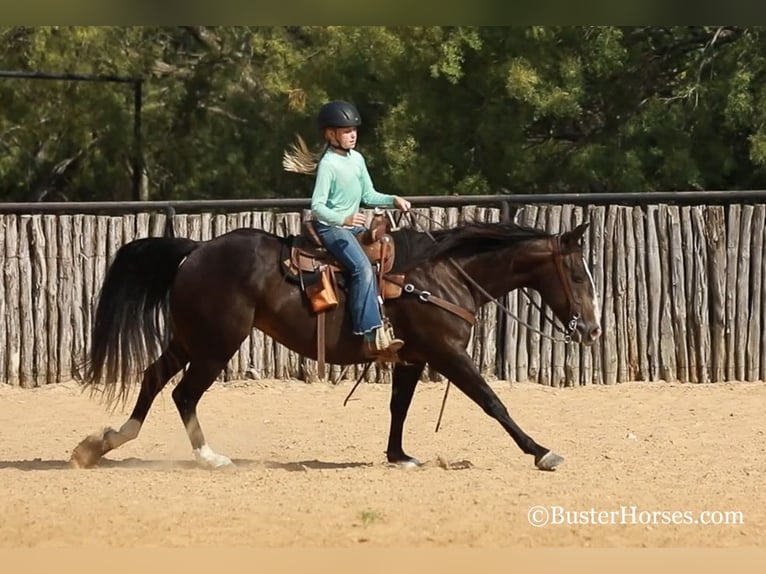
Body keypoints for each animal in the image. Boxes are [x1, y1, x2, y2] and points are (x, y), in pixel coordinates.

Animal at [69, 216, 604, 472]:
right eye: (578, 274)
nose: (593, 331)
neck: (442, 275)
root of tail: (195, 250)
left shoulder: (412, 358)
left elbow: (398, 407)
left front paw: (399, 455)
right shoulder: (447, 353)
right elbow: (493, 402)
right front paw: (541, 452)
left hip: (192, 338)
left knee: (153, 378)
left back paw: (101, 444)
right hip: (216, 344)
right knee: (183, 393)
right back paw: (209, 457)